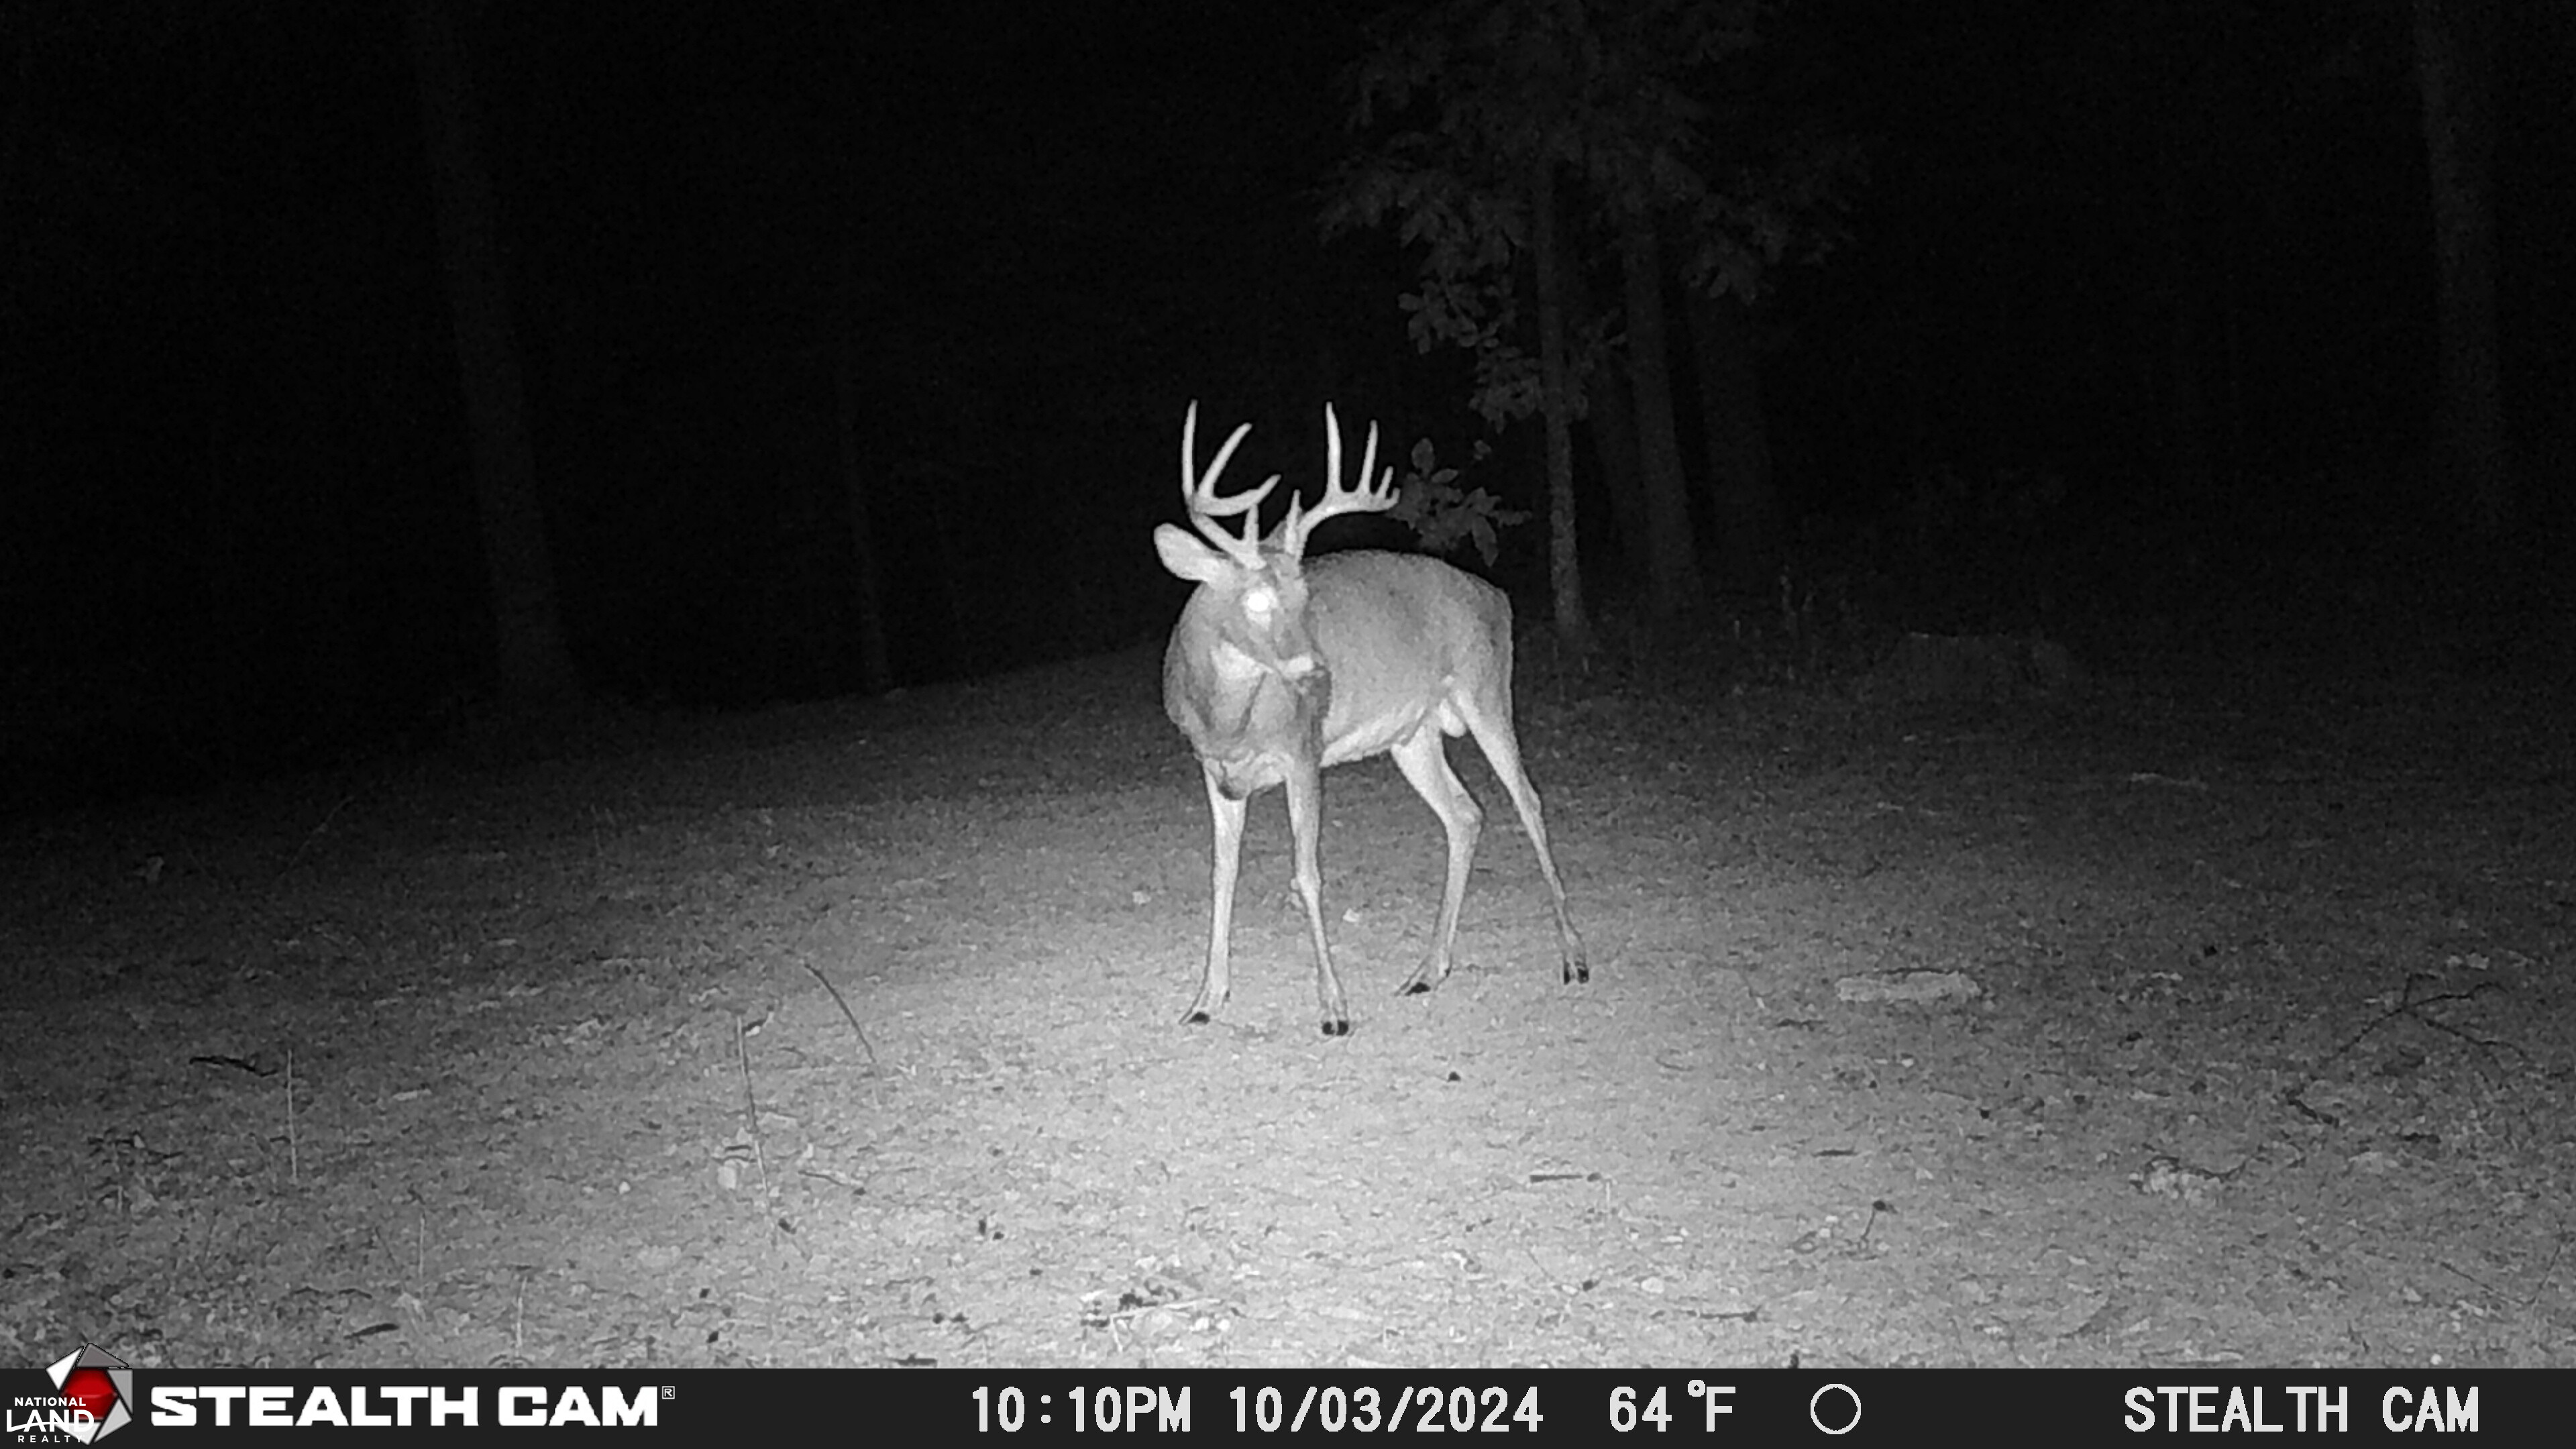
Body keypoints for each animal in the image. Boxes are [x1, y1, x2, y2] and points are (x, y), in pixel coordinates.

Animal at [1152, 402, 1588, 1036]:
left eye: (1305, 596)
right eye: (1256, 600)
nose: (1318, 674)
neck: (1227, 717)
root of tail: (1498, 595)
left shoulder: (1302, 754)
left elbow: (1307, 873)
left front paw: (1334, 1010)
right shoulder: (1216, 771)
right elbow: (1221, 875)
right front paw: (1205, 1001)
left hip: (1486, 691)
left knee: (1527, 799)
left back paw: (1574, 959)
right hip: (1414, 736)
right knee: (1466, 814)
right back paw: (1429, 971)